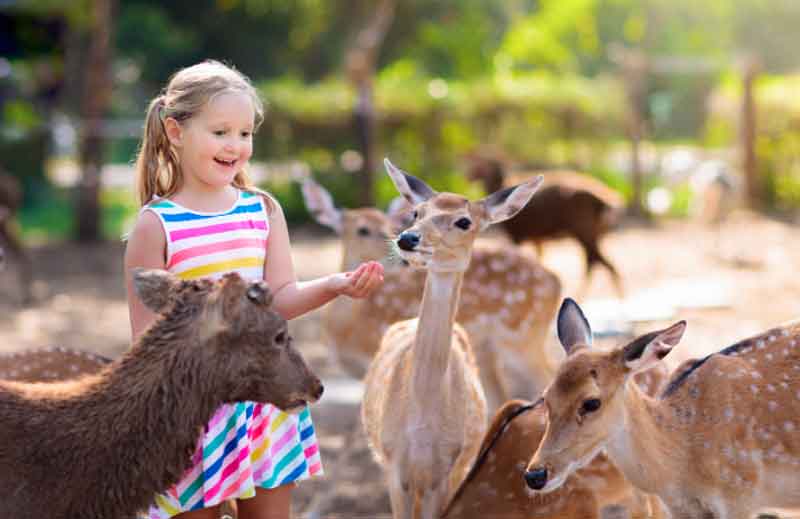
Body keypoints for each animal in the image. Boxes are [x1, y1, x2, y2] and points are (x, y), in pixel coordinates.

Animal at [302, 179, 564, 410]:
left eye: (388, 225)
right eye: (362, 230)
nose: (400, 249)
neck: (347, 327)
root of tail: (555, 280)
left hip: (522, 336)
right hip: (489, 349)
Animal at [466, 154, 628, 296]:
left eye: (482, 166)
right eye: (474, 165)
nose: (468, 176)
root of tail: (607, 204)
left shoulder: (518, 234)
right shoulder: (537, 238)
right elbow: (540, 259)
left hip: (585, 231)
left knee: (601, 263)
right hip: (595, 233)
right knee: (597, 262)